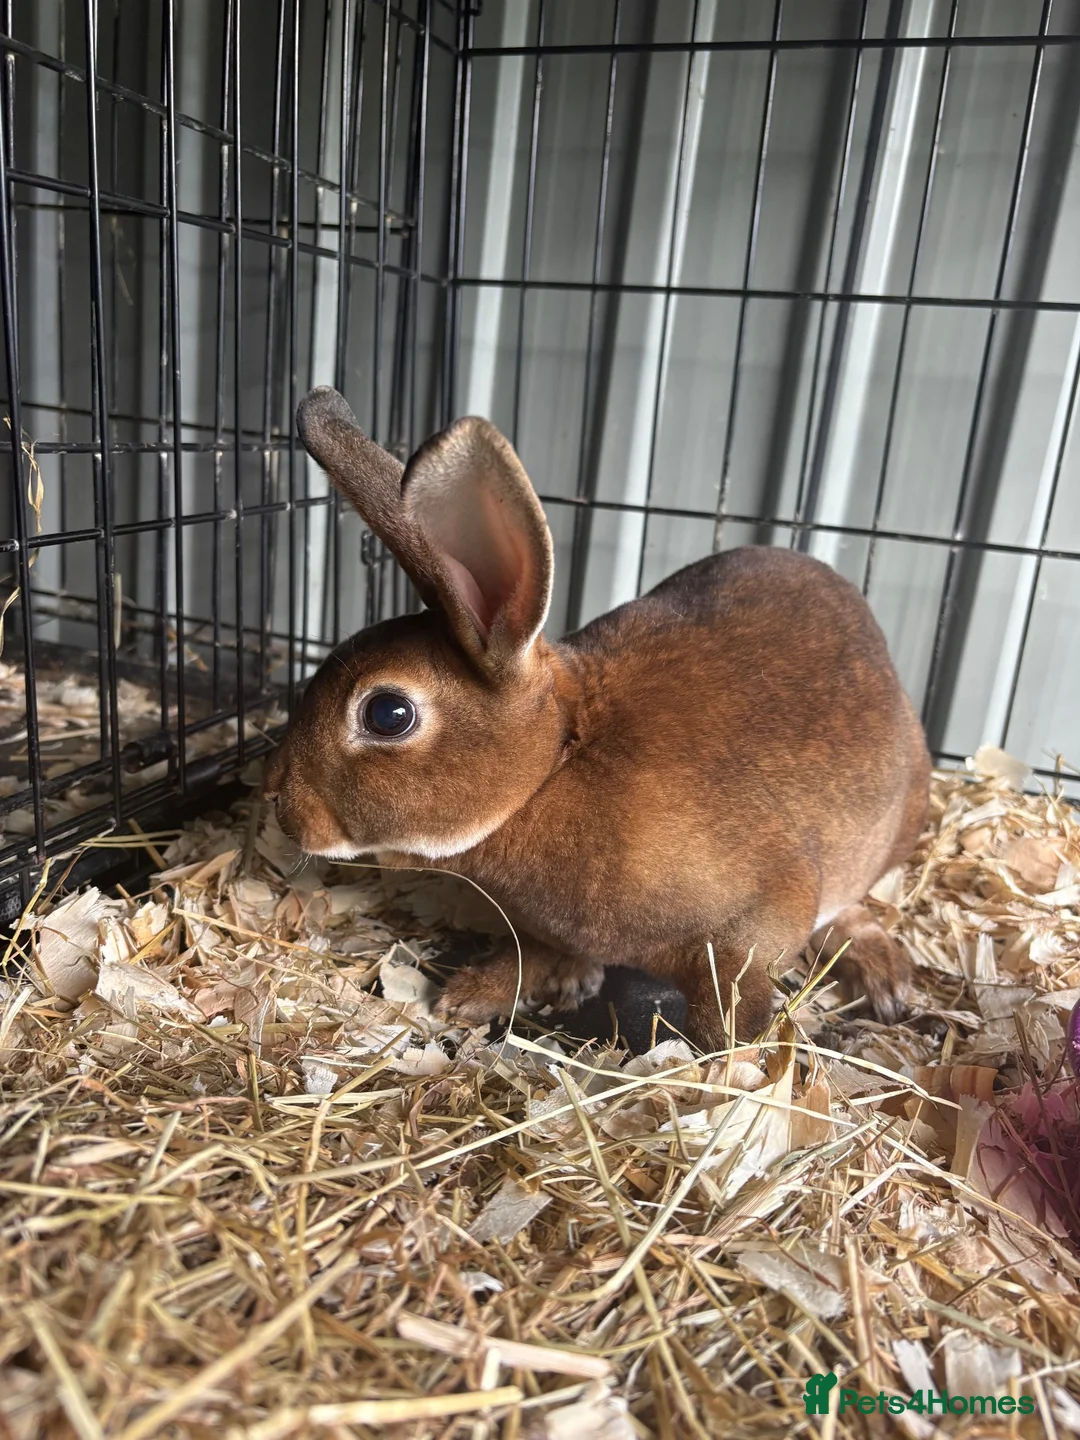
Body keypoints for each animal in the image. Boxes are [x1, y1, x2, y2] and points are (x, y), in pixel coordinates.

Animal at [264, 386, 931, 1050]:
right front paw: (472, 995)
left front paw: (728, 1057)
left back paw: (883, 977)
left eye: (388, 713)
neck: (552, 769)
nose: (278, 798)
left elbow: (729, 1007)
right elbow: (529, 952)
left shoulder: (757, 918)